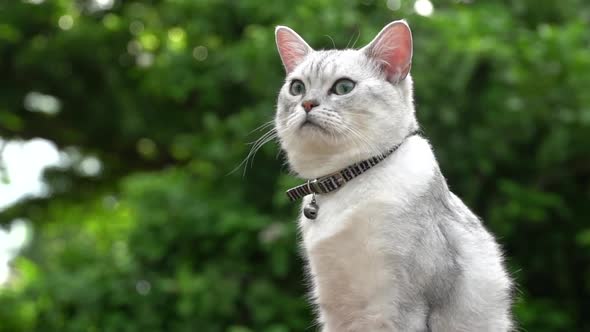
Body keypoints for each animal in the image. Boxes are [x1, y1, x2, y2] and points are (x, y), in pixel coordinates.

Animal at [272, 20, 512, 332]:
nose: (308, 104)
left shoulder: (400, 307)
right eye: (297, 87)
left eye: (344, 87)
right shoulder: (335, 311)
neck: (346, 181)